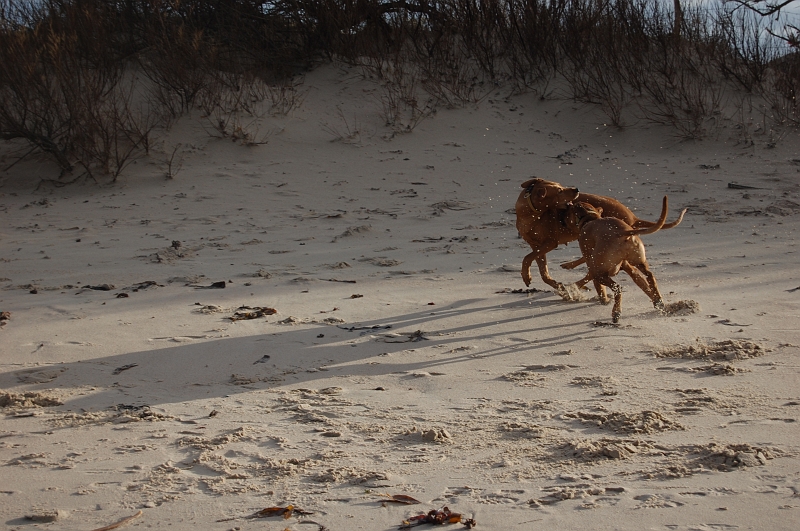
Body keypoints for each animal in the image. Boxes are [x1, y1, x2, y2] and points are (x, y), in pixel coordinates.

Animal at [520, 179, 688, 290]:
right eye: (560, 191)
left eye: (561, 186)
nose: (576, 189)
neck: (530, 215)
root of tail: (633, 218)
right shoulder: (535, 245)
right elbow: (542, 271)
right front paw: (551, 283)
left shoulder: (549, 243)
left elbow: (527, 257)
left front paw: (526, 276)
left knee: (591, 265)